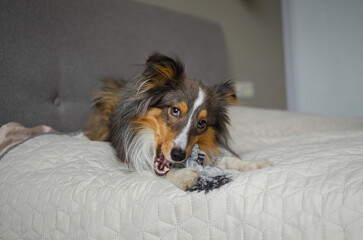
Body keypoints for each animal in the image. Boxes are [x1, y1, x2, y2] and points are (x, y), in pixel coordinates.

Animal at [85, 53, 272, 190]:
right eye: (175, 110)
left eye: (202, 123)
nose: (178, 155)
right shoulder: (132, 156)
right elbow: (153, 168)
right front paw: (184, 175)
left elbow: (227, 159)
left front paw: (255, 164)